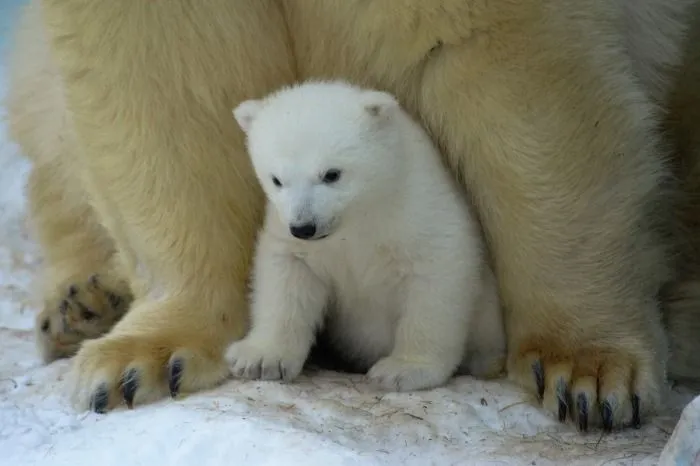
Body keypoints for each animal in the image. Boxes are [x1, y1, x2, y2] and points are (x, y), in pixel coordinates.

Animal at [6, 0, 700, 432]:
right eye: (275, 177)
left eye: (336, 175)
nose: (305, 224)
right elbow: (154, 72)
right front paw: (139, 364)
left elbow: (505, 62)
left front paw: (587, 373)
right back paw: (81, 306)